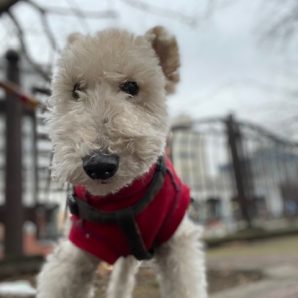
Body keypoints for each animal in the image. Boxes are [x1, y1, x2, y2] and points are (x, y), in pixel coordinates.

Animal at [36, 26, 206, 298]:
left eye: (131, 87)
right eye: (75, 89)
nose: (99, 165)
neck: (120, 199)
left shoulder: (177, 239)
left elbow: (184, 286)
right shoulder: (77, 249)